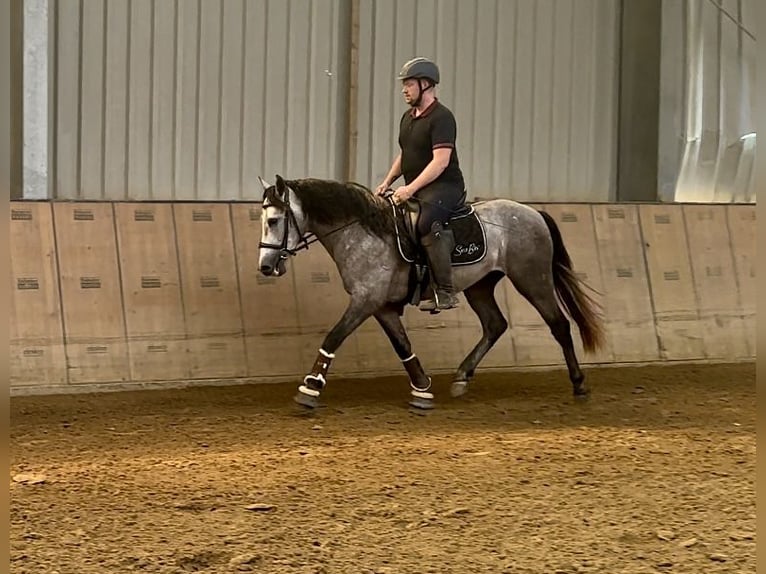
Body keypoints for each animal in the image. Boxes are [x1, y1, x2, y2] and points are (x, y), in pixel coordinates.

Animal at [258, 174, 608, 410]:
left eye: (274, 220)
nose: (265, 266)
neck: (362, 232)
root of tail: (532, 212)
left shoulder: (365, 300)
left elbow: (334, 337)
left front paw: (310, 388)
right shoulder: (381, 306)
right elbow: (403, 345)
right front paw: (423, 389)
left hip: (532, 279)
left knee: (559, 325)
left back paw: (579, 385)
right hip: (481, 286)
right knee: (495, 325)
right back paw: (462, 377)